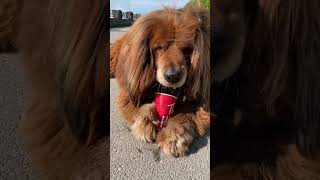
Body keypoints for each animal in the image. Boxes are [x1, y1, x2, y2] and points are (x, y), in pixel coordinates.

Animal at [111, 7, 211, 156]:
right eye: (159, 48)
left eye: (187, 50)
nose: (173, 76)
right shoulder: (128, 94)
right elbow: (137, 106)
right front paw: (147, 120)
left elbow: (185, 111)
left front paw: (174, 134)